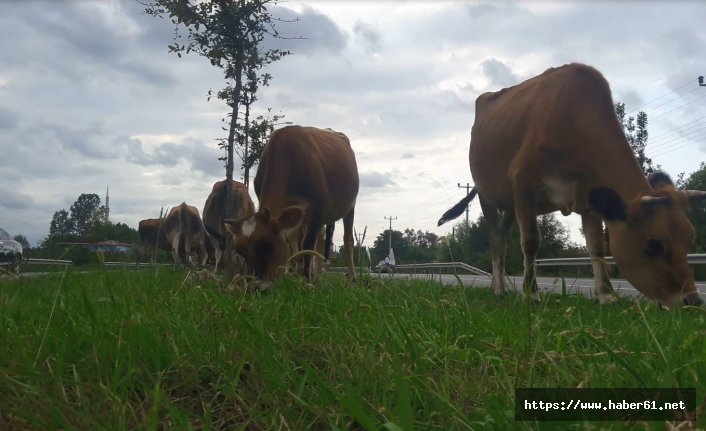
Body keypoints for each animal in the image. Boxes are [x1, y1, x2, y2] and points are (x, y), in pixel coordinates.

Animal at [224, 125, 358, 290]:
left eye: (268, 245)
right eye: (239, 250)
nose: (255, 286)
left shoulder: (318, 210)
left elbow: (307, 247)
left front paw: (307, 281)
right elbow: (298, 245)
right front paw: (299, 276)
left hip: (350, 206)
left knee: (347, 240)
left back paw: (351, 279)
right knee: (317, 241)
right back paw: (317, 278)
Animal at [438, 63, 700, 308]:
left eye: (690, 239)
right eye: (654, 244)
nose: (693, 300)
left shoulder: (590, 196)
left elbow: (596, 247)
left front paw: (606, 295)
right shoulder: (524, 180)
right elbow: (531, 241)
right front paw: (530, 294)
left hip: (510, 204)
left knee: (502, 236)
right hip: (487, 194)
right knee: (494, 238)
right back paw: (499, 289)